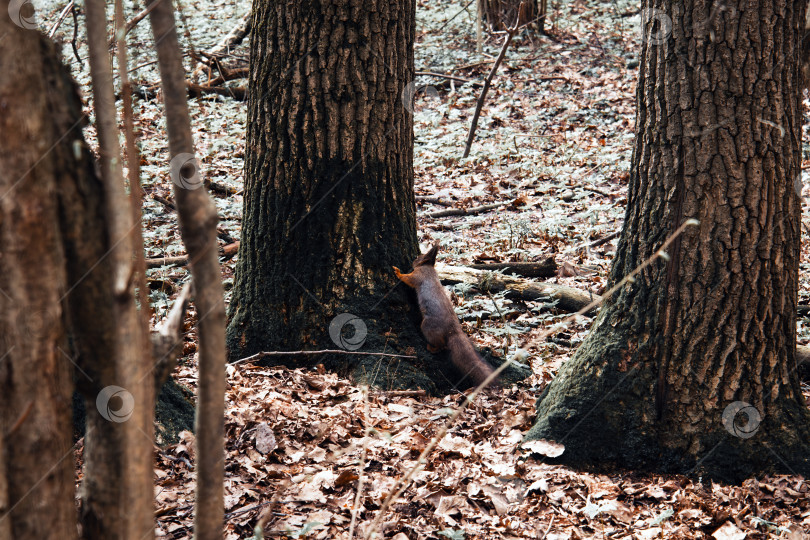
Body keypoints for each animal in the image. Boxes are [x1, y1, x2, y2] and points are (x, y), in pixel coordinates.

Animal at [393, 243, 496, 387]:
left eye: (419, 257)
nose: (413, 259)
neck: (428, 267)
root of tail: (453, 330)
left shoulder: (418, 275)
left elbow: (407, 279)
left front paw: (397, 272)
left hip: (428, 327)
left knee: (440, 344)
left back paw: (431, 348)